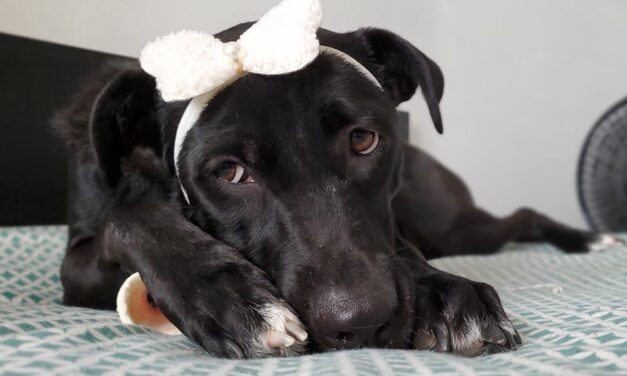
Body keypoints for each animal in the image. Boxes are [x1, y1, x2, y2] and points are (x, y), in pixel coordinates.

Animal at [55, 23, 608, 358]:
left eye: (363, 139)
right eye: (229, 171)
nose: (360, 326)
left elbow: (401, 250)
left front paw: (447, 291)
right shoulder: (77, 267)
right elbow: (130, 214)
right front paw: (229, 298)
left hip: (453, 227)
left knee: (520, 216)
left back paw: (589, 238)